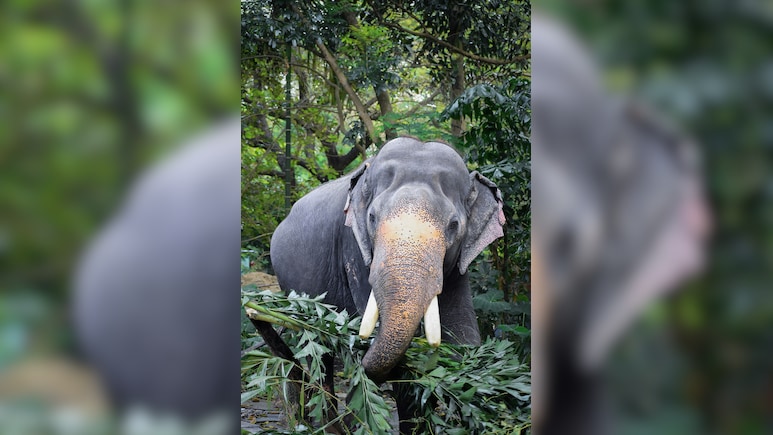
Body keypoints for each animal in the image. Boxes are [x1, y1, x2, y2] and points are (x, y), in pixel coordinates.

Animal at [268, 136, 505, 429]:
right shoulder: (353, 247)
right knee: (313, 350)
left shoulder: (458, 267)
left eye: (453, 225)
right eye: (372, 218)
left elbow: (463, 335)